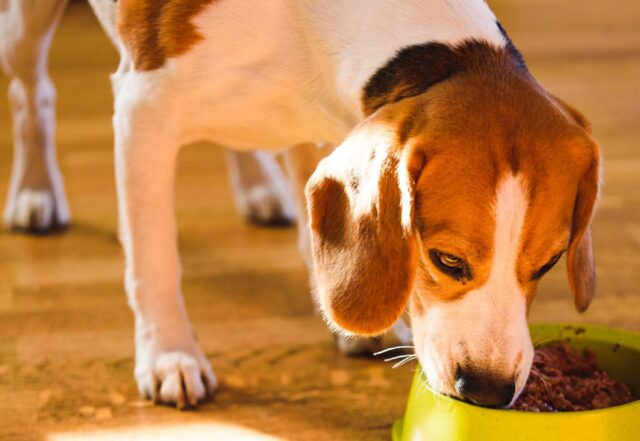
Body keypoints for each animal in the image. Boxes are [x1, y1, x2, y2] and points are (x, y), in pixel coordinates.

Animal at [1, 0, 600, 410]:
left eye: (547, 264)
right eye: (446, 260)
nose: (487, 390)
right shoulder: (143, 109)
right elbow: (154, 262)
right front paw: (169, 353)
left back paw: (258, 186)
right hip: (24, 30)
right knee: (33, 94)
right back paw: (35, 190)